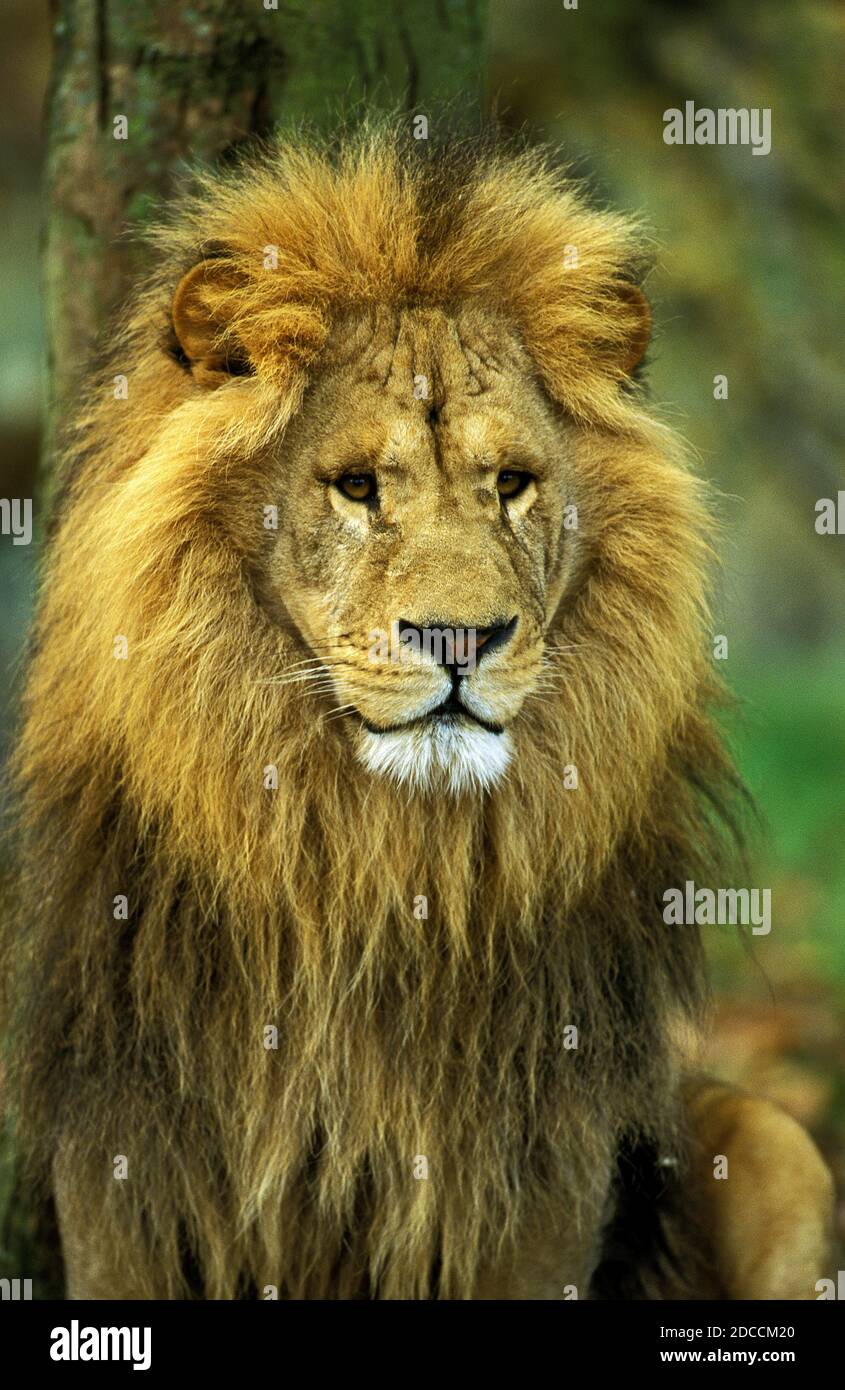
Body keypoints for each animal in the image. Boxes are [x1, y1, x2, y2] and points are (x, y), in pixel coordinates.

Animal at [2, 123, 833, 1300]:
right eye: (356, 486)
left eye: (512, 483)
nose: (459, 641)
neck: (376, 864)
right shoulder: (122, 1162)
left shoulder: (540, 1175)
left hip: (776, 1140)